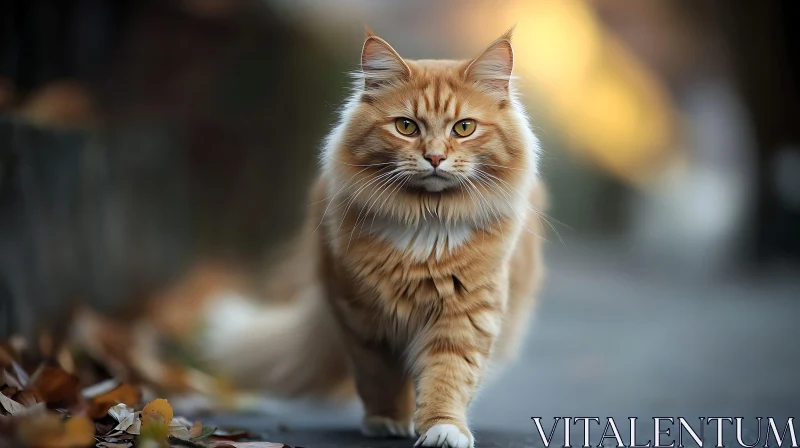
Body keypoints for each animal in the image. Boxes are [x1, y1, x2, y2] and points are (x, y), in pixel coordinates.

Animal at [316, 29, 548, 446]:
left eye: (464, 128)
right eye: (406, 127)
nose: (436, 157)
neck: (428, 223)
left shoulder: (464, 316)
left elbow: (447, 378)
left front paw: (444, 429)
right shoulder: (363, 319)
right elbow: (380, 378)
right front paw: (388, 420)